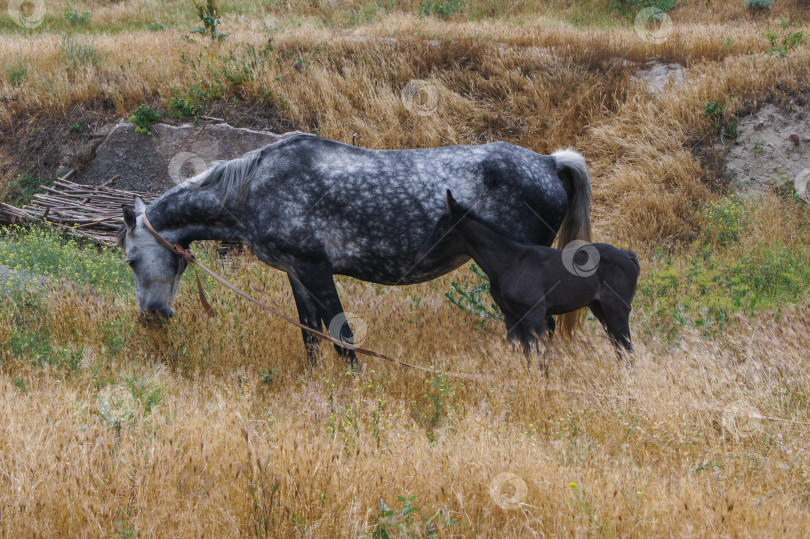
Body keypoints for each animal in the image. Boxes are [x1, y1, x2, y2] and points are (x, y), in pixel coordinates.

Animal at [117, 134, 592, 368]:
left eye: (131, 260)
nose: (153, 316)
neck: (256, 186)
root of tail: (550, 162)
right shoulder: (296, 273)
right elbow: (311, 336)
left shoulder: (315, 268)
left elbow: (342, 336)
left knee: (538, 333)